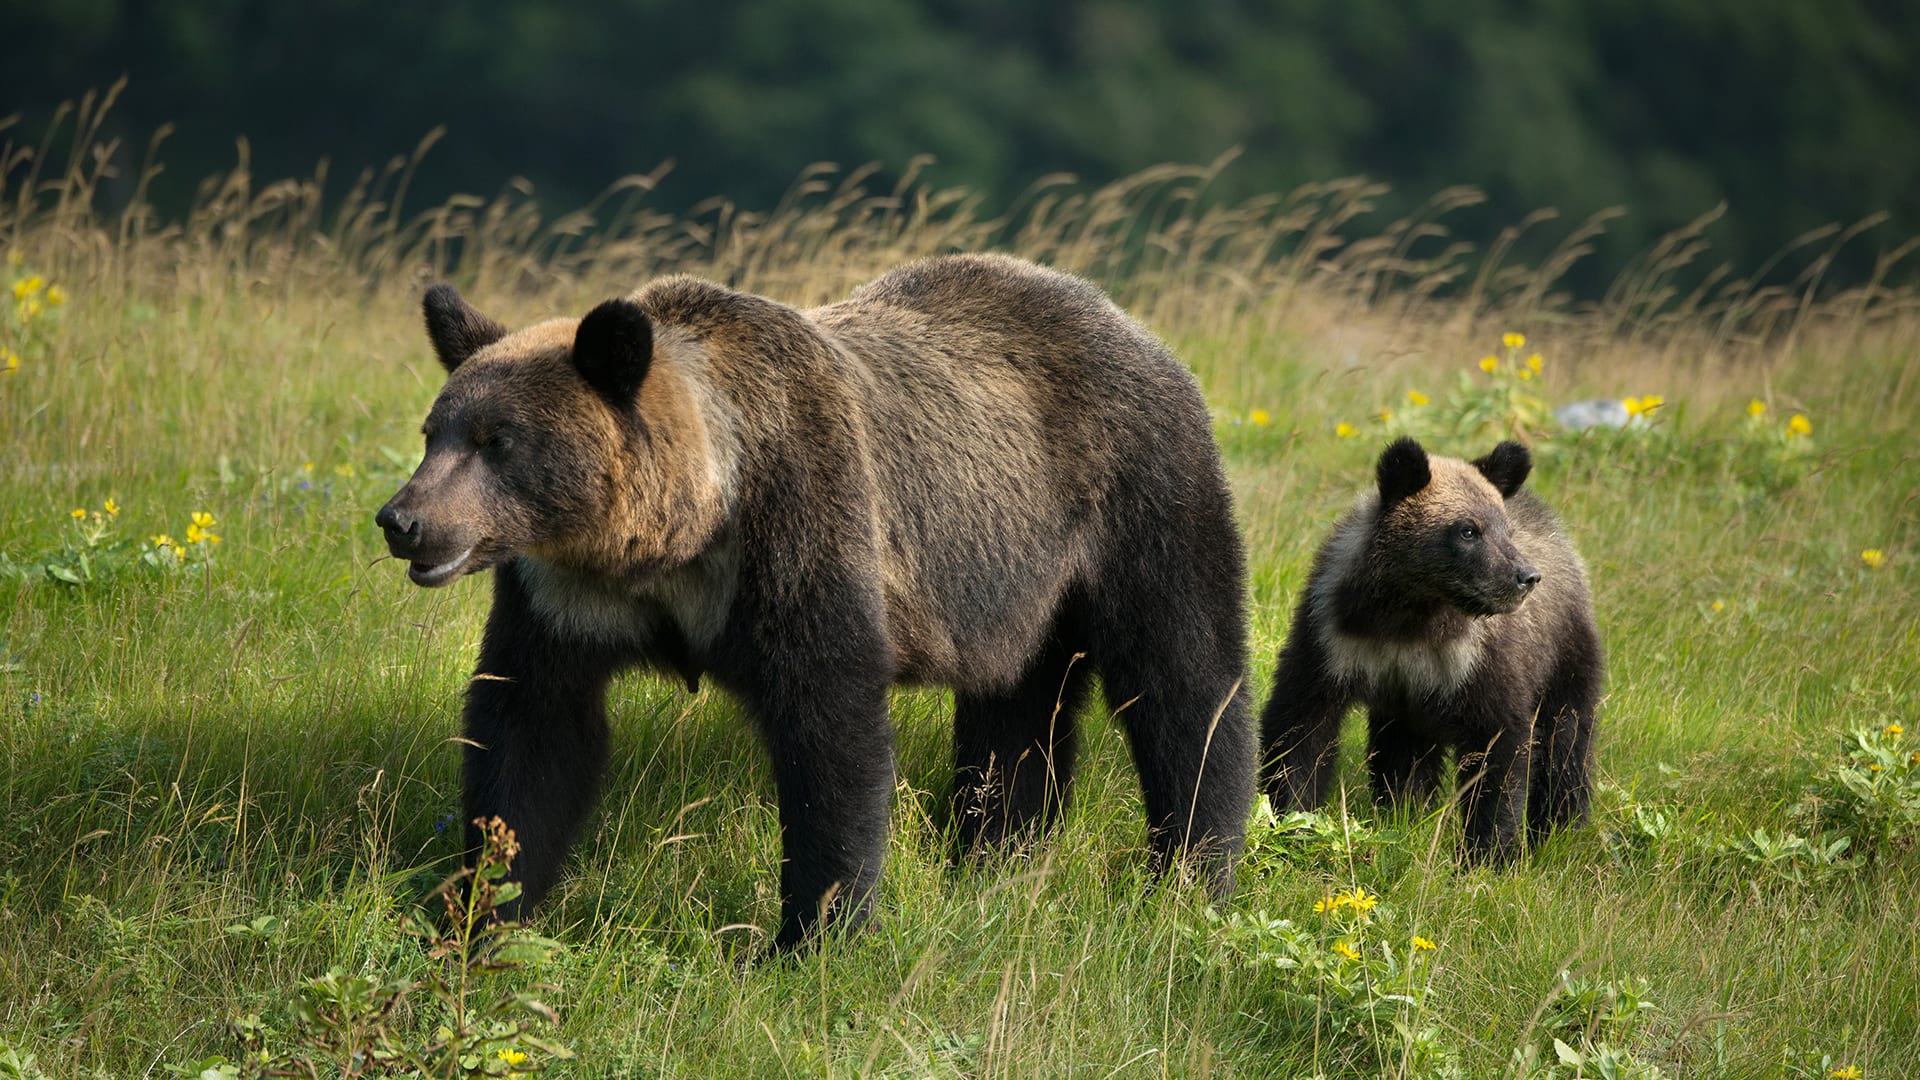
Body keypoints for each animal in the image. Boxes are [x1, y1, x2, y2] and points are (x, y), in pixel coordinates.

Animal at [374, 251, 1251, 941]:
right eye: (434, 431)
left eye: (498, 441)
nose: (403, 521)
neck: (678, 537)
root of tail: (1126, 319)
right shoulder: (566, 600)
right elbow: (532, 732)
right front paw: (483, 909)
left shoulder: (799, 532)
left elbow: (829, 730)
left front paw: (810, 931)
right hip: (1014, 579)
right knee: (1016, 713)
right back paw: (996, 856)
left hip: (1133, 492)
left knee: (1182, 675)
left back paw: (1190, 868)